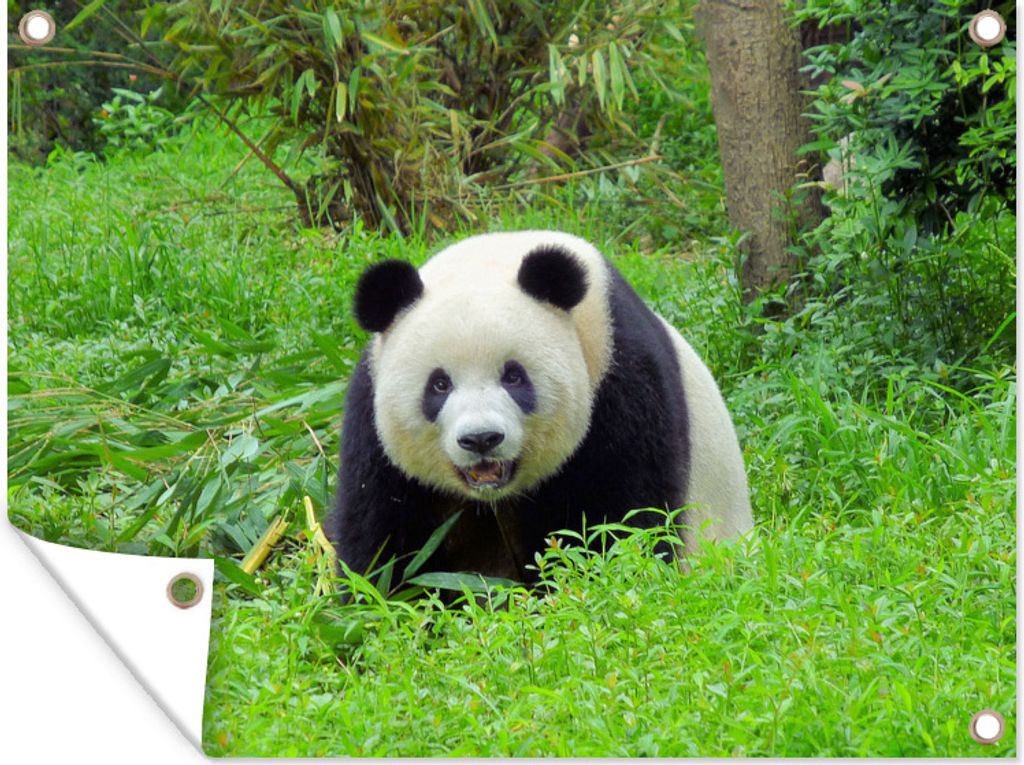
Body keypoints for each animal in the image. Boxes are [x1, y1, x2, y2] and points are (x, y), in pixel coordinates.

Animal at [326, 231, 752, 584]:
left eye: (514, 376)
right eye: (439, 384)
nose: (481, 439)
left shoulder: (620, 381)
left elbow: (623, 519)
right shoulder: (372, 420)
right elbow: (383, 535)